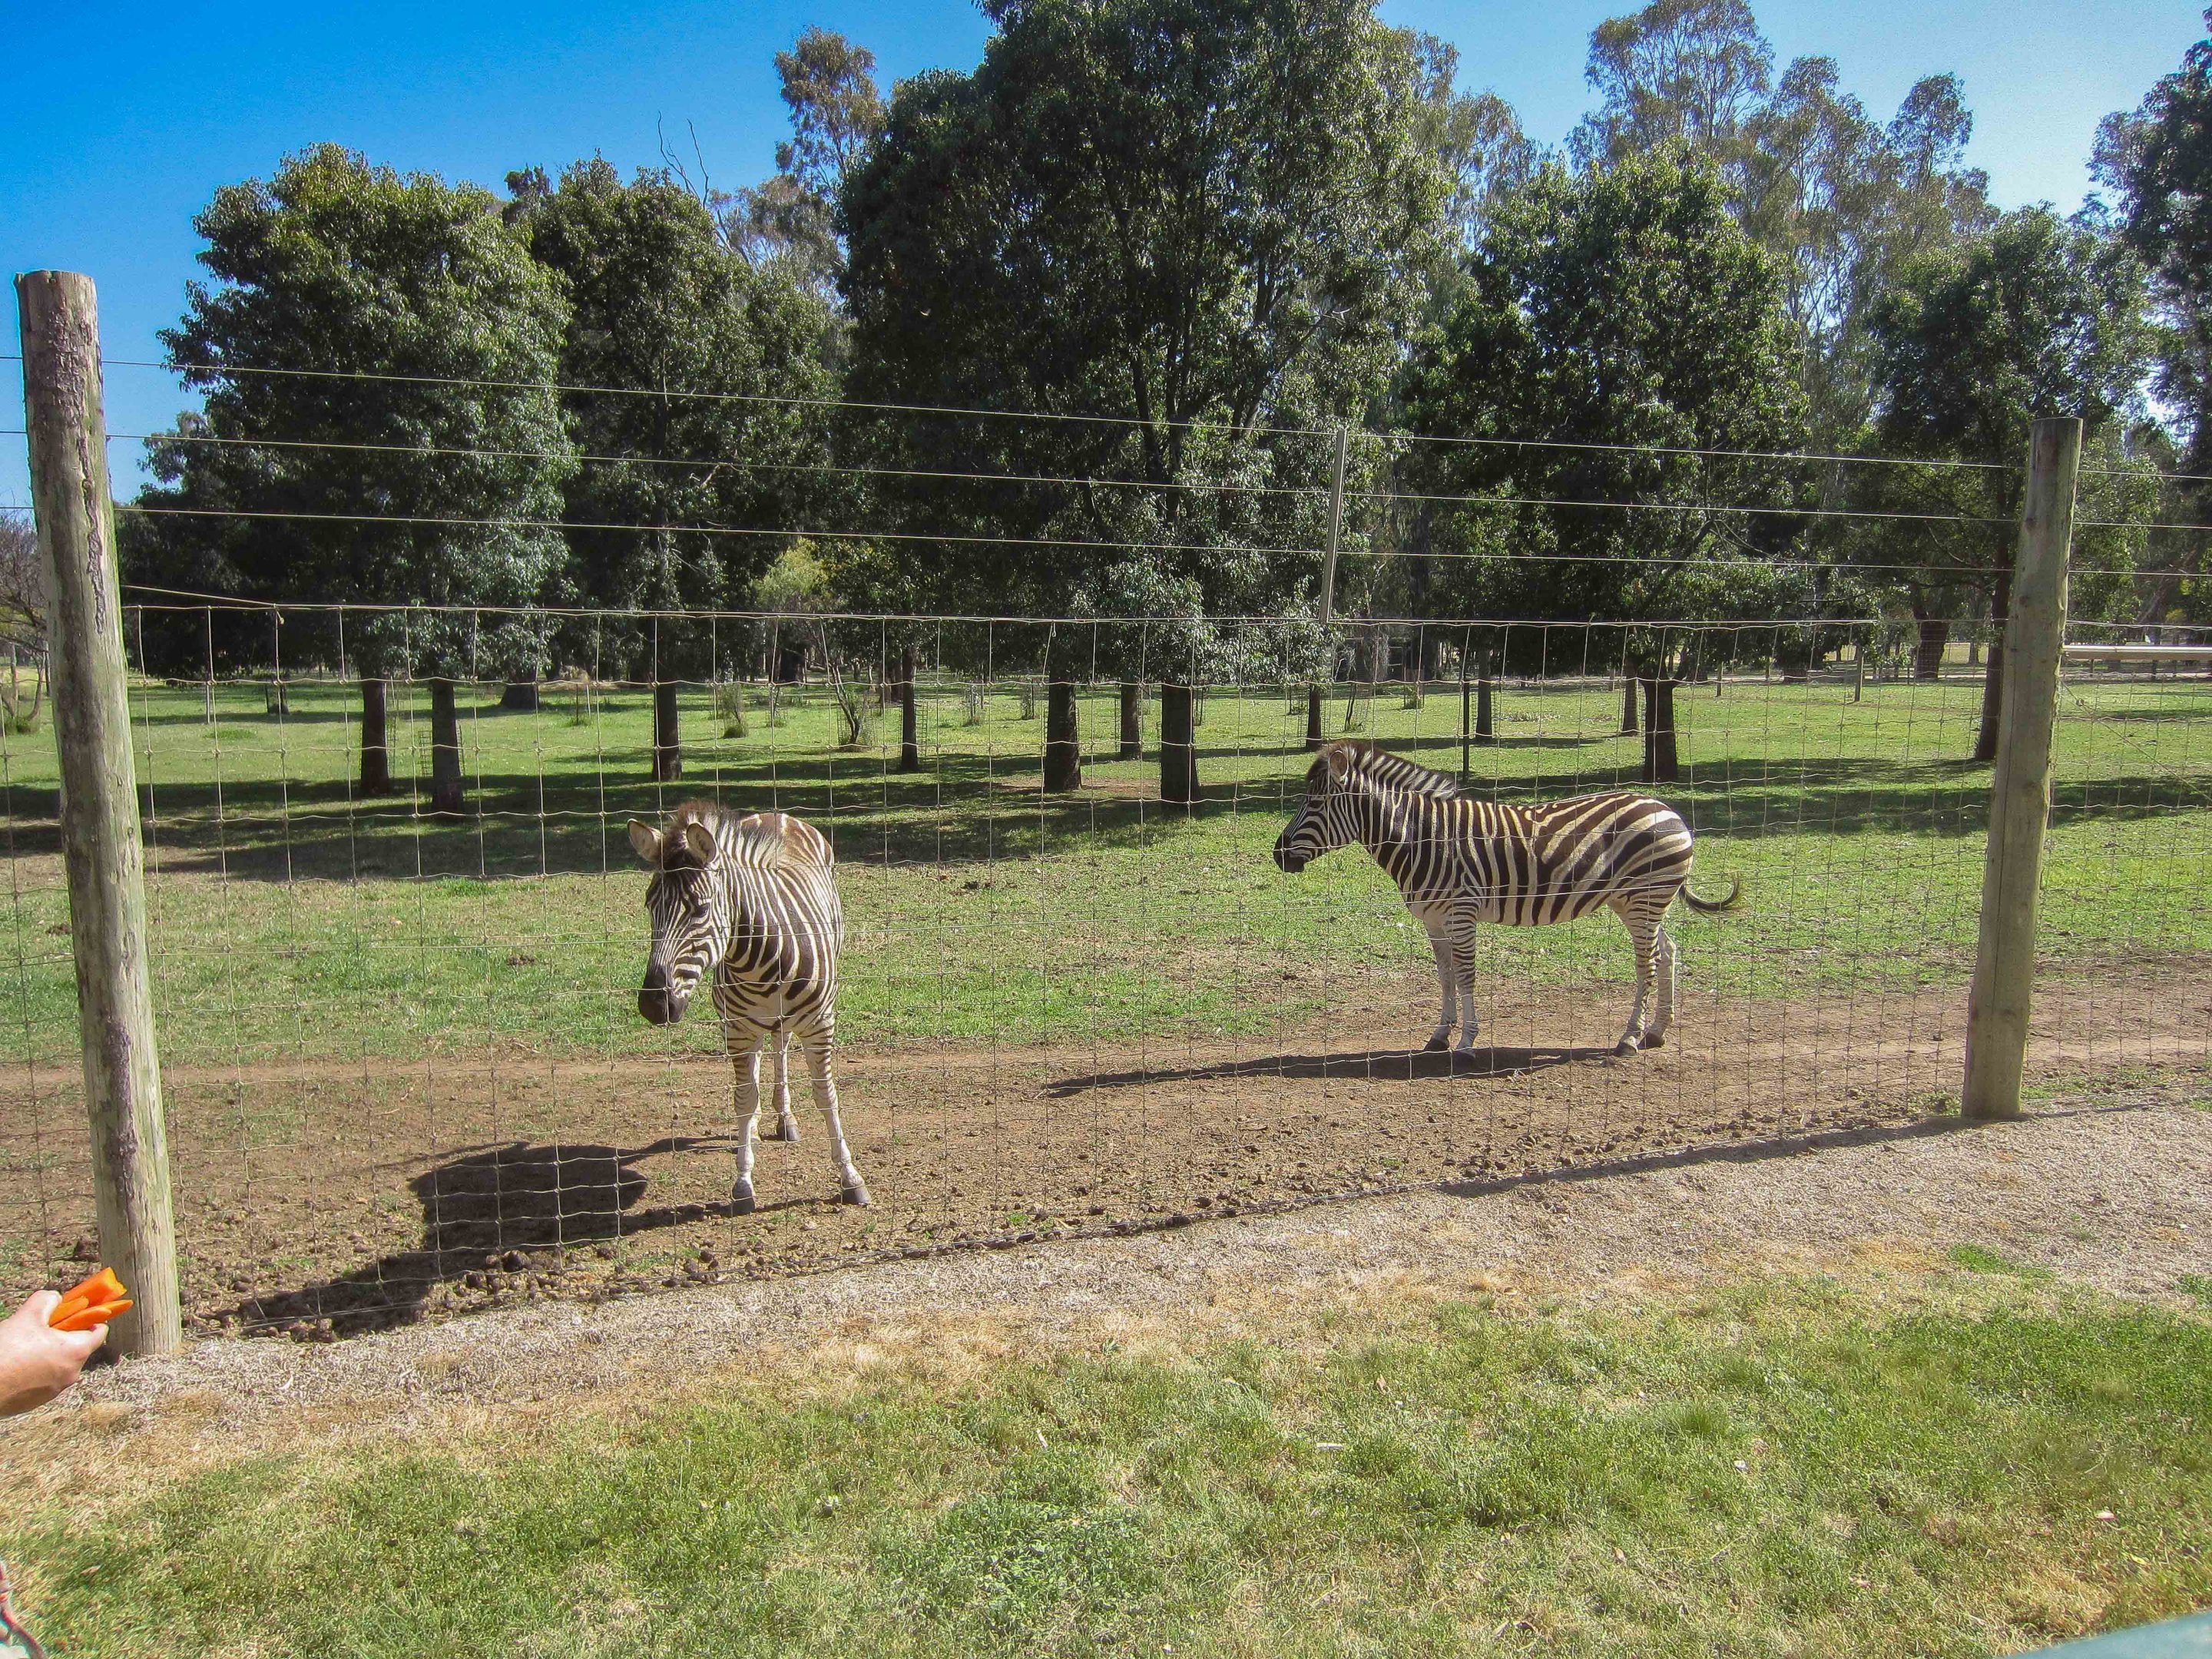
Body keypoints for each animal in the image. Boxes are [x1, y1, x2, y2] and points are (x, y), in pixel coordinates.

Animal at [628, 801, 870, 1211]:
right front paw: (743, 1181)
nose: (653, 1005)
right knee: (763, 1061)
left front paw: (850, 1177)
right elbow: (743, 1098)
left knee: (781, 1046)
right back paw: (761, 1123)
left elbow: (826, 1096)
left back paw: (785, 1118)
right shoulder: (737, 1028)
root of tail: (777, 814)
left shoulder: (821, 1023)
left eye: (700, 909)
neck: (758, 960)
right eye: (649, 907)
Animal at [1272, 741, 1740, 1056]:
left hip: (1645, 897)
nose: (1278, 854)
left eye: (1315, 803)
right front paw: (1440, 1035)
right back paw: (1656, 1031)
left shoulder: (1460, 912)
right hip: (1635, 903)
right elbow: (1445, 976)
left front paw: (1466, 1041)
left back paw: (1629, 1038)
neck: (1421, 838)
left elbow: (1465, 975)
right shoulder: (1433, 919)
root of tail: (1665, 807)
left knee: (1648, 962)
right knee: (1668, 951)